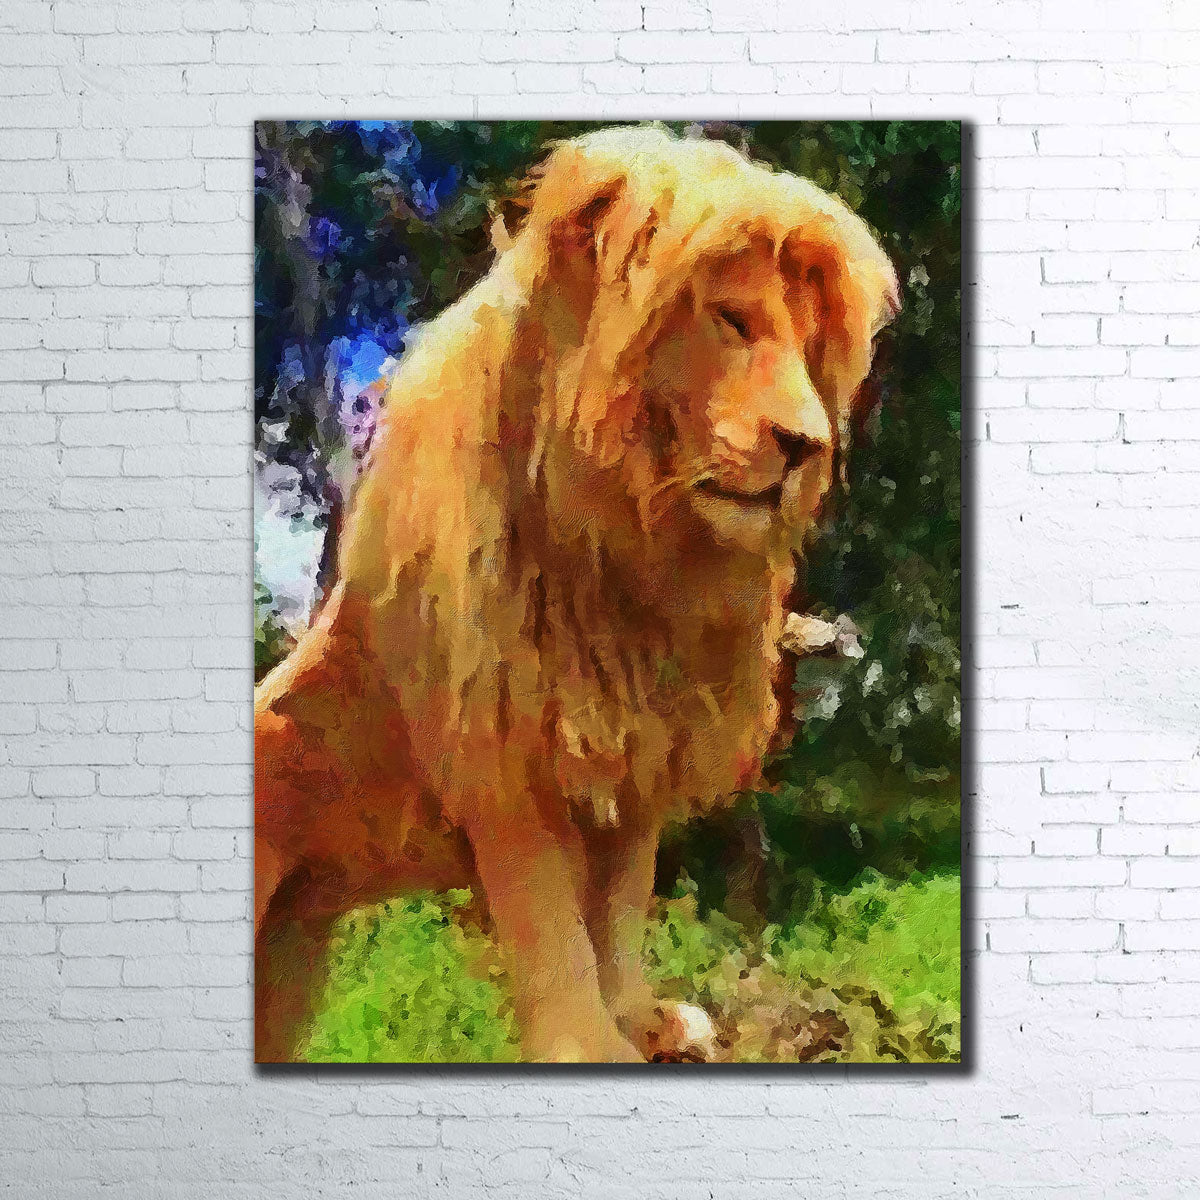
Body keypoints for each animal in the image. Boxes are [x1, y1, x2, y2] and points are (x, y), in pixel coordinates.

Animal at [254, 125, 899, 1063]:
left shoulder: (639, 743)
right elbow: (549, 918)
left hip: (291, 961)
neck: (627, 552)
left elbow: (621, 901)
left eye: (812, 347)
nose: (807, 446)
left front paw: (640, 1017)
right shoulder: (503, 747)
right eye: (733, 320)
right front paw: (588, 1044)